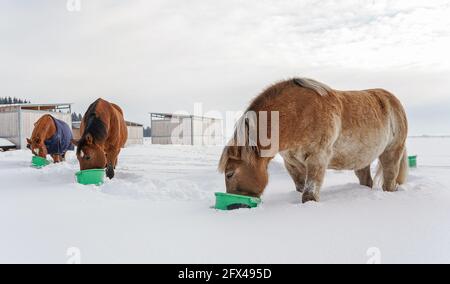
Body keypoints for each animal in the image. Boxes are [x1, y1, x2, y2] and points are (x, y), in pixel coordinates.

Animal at [218, 77, 408, 202]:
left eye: (229, 174)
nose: (235, 203)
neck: (299, 115)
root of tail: (393, 100)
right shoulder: (292, 164)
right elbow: (300, 188)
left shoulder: (318, 159)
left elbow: (309, 195)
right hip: (361, 160)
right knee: (366, 181)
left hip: (391, 153)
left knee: (389, 182)